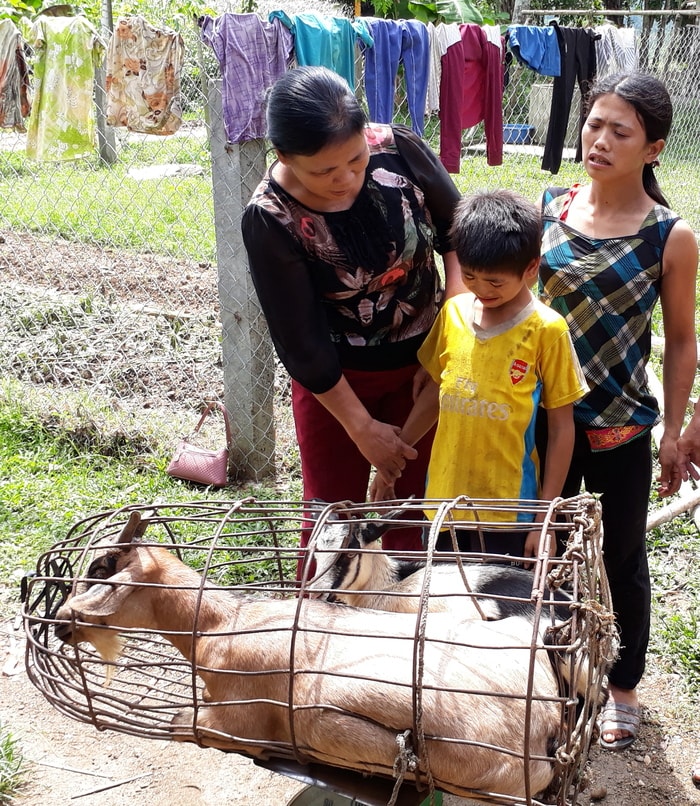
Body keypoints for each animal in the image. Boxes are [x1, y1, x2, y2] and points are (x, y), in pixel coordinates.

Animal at [57, 512, 568, 800]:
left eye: (100, 568)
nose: (59, 622)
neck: (221, 621)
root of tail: (545, 726)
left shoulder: (235, 723)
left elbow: (181, 721)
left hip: (320, 720)